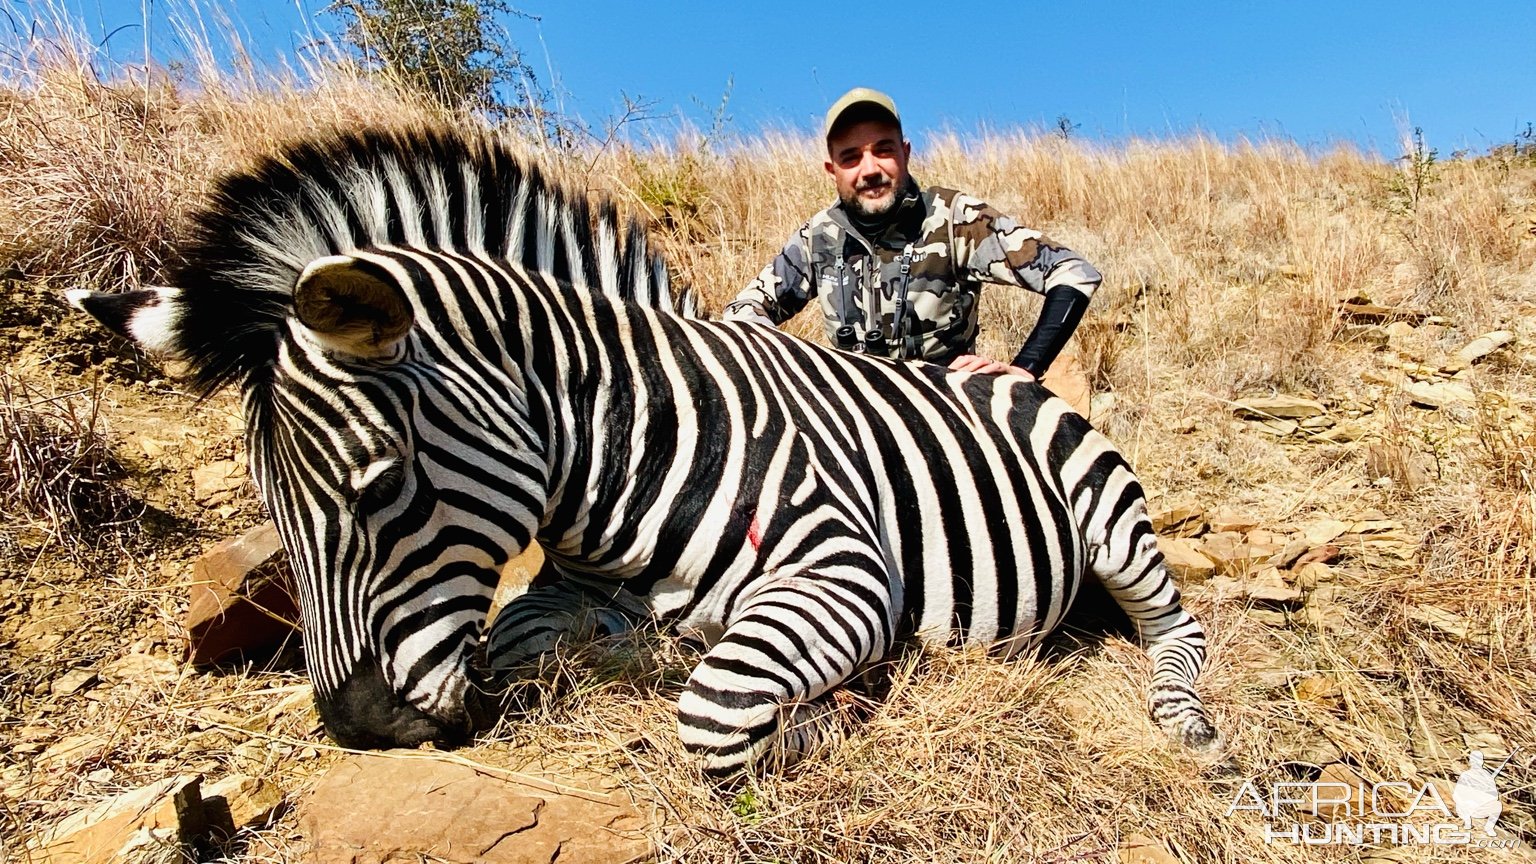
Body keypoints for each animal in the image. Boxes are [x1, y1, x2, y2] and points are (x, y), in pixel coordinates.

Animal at [69, 122, 1222, 774]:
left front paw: (844, 703)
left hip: (1113, 526)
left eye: (379, 486)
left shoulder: (844, 568)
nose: (361, 733)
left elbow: (713, 715)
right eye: (275, 512)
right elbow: (516, 641)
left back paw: (1185, 720)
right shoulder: (569, 586)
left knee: (1181, 626)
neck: (625, 445)